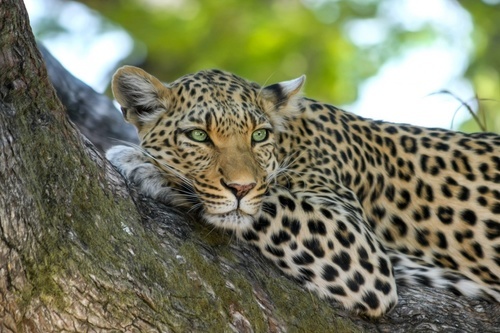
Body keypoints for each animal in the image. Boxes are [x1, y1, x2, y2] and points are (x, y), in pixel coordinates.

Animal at [106, 65, 500, 316]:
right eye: (199, 136)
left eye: (258, 135)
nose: (240, 187)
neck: (291, 139)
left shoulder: (358, 248)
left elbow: (269, 202)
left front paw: (144, 164)